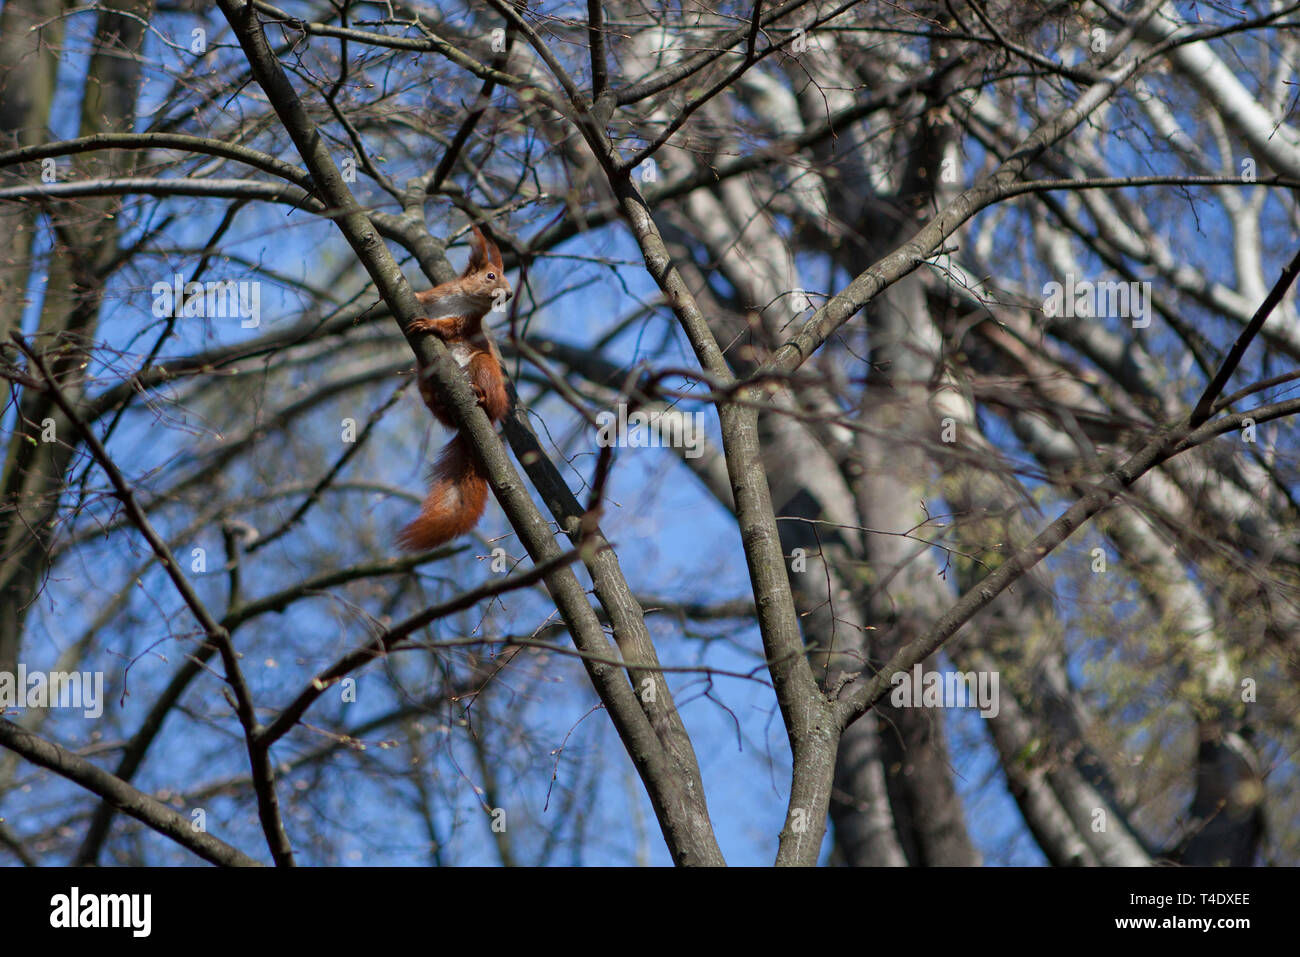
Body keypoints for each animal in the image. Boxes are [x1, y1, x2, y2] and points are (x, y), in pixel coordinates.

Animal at [398, 223, 512, 551]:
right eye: (491, 276)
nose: (510, 293)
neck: (464, 300)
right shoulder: (435, 296)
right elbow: (422, 296)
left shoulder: (466, 323)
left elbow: (450, 328)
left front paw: (431, 326)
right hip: (424, 378)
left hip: (484, 367)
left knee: (488, 395)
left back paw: (481, 396)